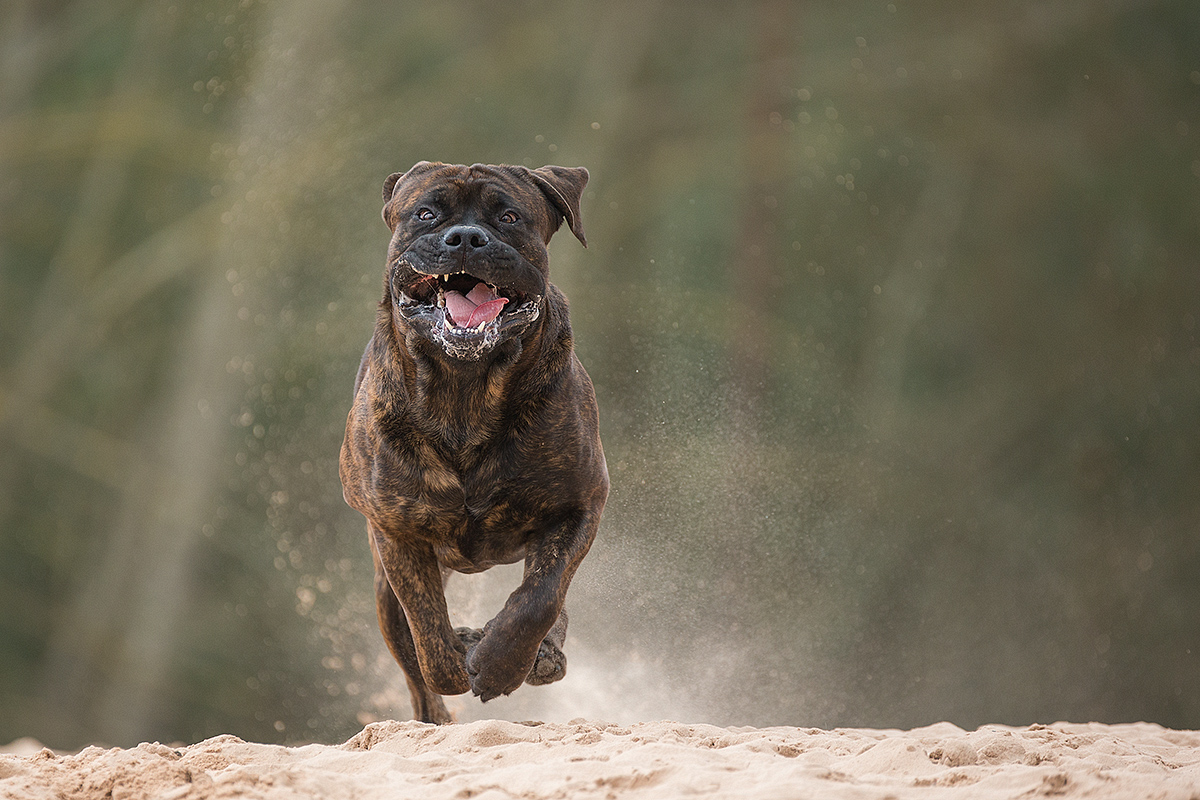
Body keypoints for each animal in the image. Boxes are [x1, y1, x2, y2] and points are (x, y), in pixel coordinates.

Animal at [340, 159, 609, 724]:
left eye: (508, 216)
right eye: (426, 214)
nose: (465, 237)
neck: (466, 388)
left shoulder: (580, 505)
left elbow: (541, 595)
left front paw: (504, 662)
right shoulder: (398, 534)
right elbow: (427, 630)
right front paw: (457, 656)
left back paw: (541, 655)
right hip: (383, 591)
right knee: (413, 660)